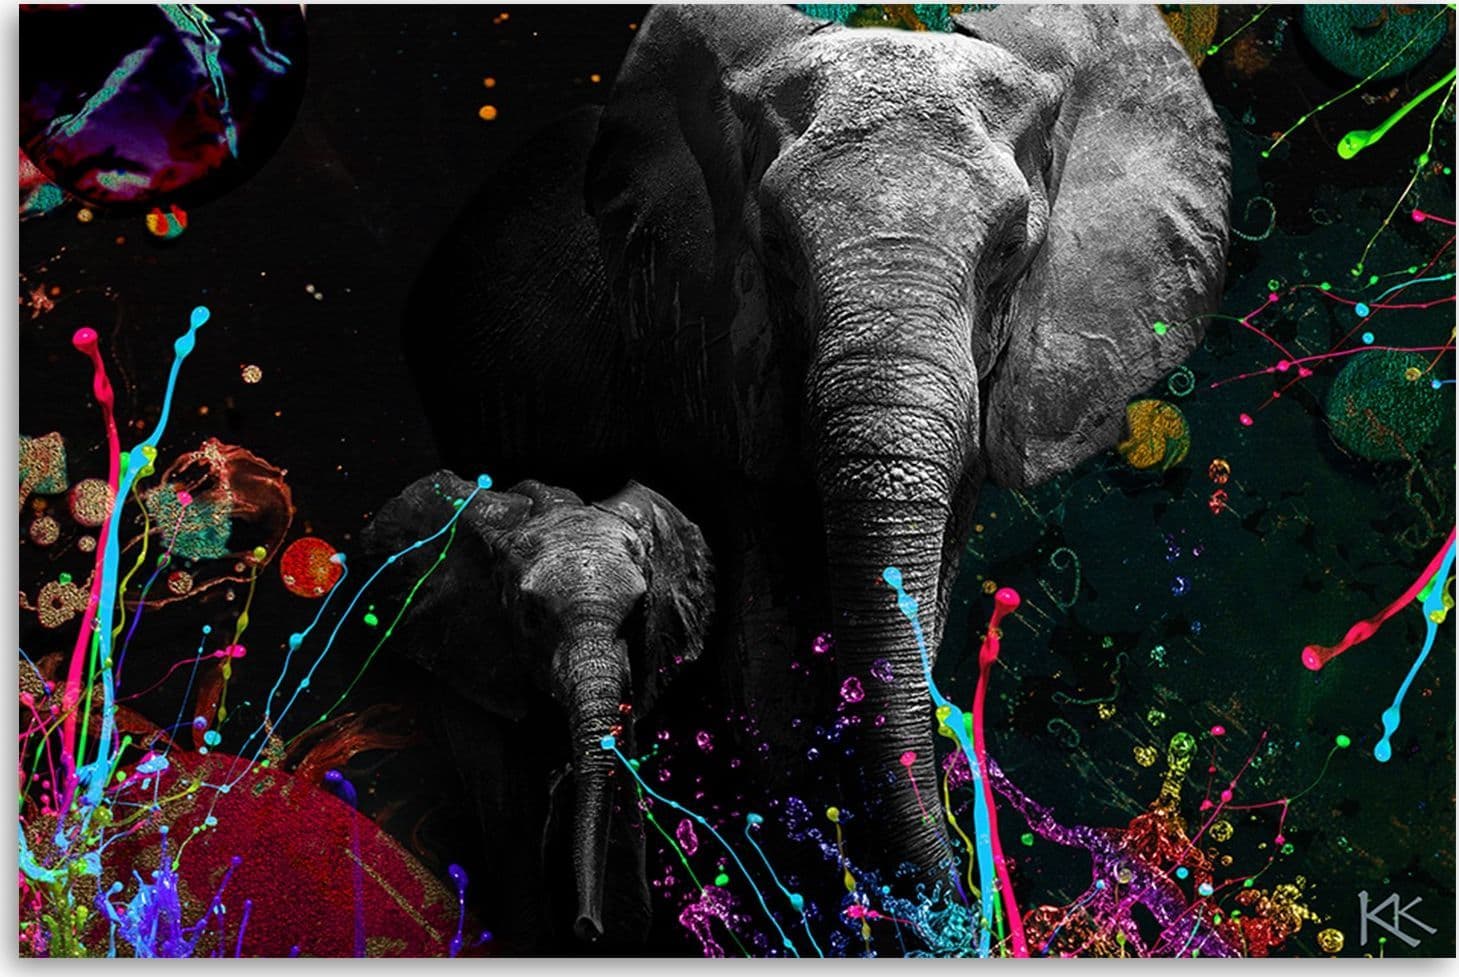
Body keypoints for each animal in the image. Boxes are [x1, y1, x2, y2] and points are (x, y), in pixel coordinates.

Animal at [361, 471, 714, 948]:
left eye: (642, 610)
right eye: (530, 617)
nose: (586, 926)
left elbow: (619, 797)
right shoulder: (476, 660)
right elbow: (511, 807)